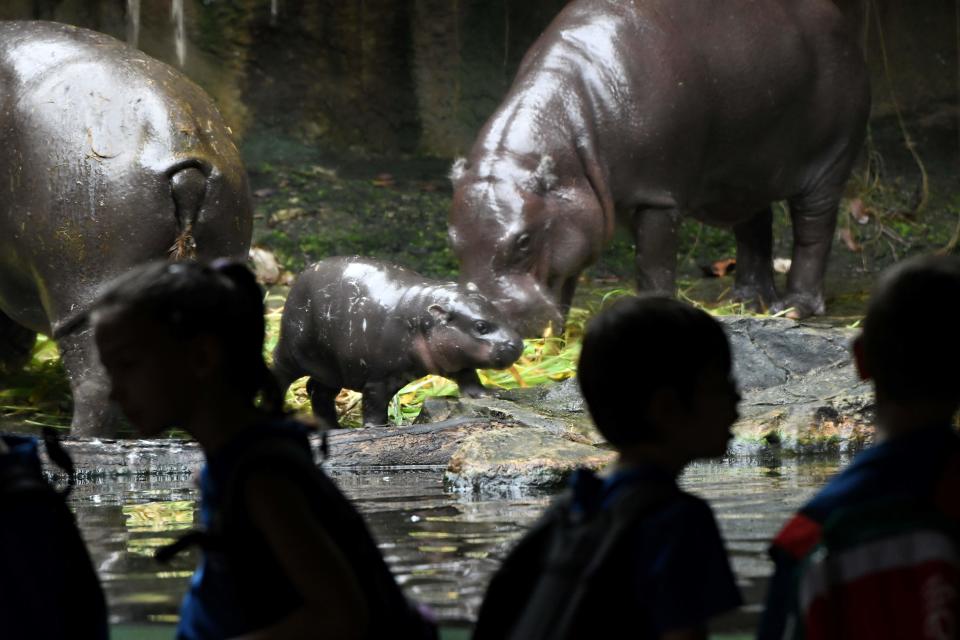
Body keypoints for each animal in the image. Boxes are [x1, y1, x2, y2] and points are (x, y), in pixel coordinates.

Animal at [270, 256, 524, 430]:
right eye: (481, 326)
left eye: (498, 310)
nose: (518, 344)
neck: (422, 316)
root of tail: (299, 278)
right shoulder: (377, 379)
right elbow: (374, 404)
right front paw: (378, 428)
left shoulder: (451, 359)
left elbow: (469, 376)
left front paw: (489, 394)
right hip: (291, 350)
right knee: (280, 374)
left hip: (332, 368)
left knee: (317, 391)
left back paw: (334, 428)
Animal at [448, 0, 872, 338]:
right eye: (453, 240)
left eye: (523, 241)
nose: (488, 321)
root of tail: (836, 16)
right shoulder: (569, 215)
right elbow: (564, 275)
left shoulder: (656, 197)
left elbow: (653, 267)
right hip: (742, 170)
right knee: (755, 225)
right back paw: (747, 303)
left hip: (829, 162)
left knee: (813, 230)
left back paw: (794, 307)